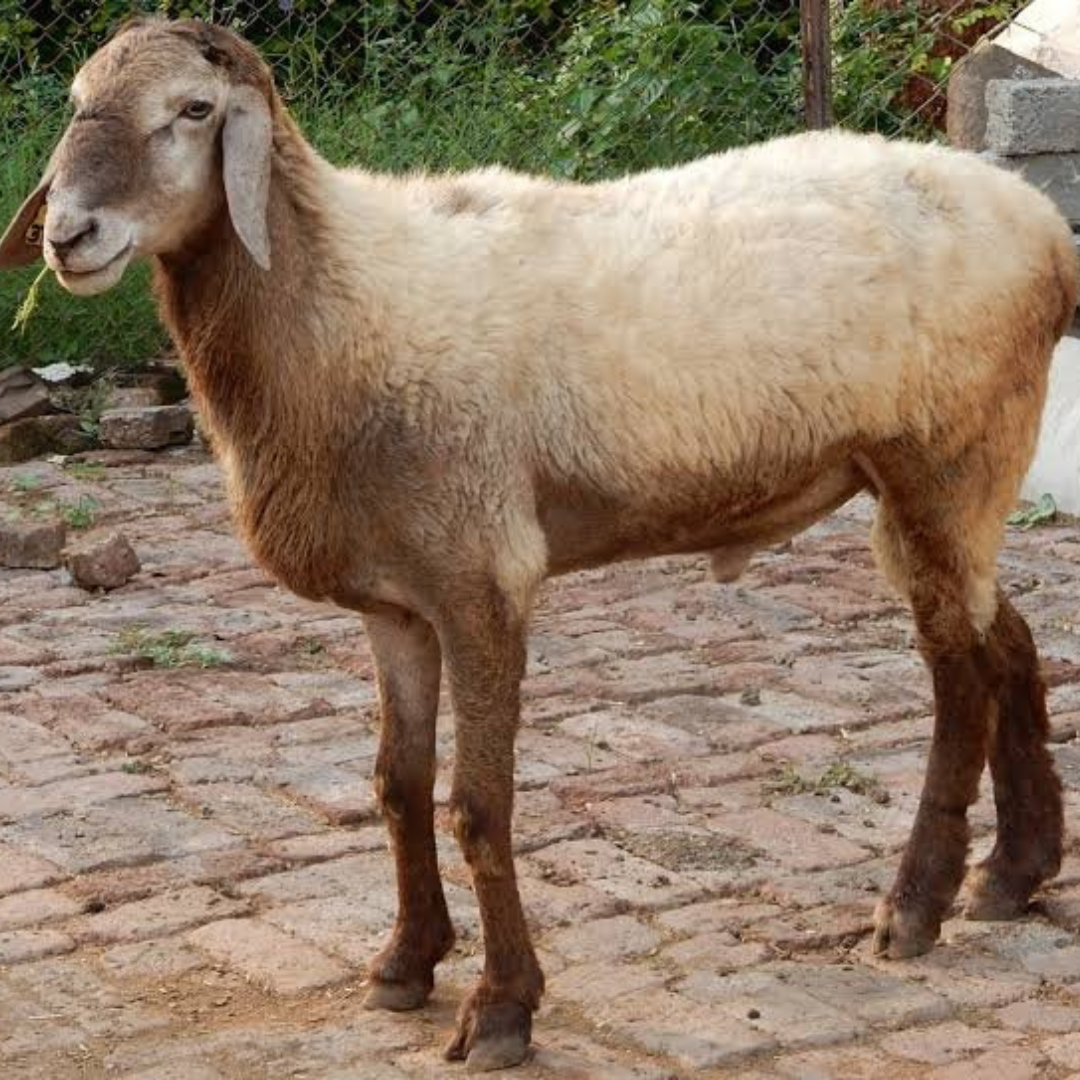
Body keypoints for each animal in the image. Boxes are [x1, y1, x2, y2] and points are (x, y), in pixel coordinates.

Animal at [1, 17, 1075, 1071]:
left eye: (194, 110)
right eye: (77, 101)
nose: (68, 235)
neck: (344, 297)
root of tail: (1041, 223)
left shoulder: (482, 575)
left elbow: (479, 803)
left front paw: (502, 1008)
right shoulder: (397, 600)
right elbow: (397, 786)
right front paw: (405, 963)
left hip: (947, 458)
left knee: (960, 683)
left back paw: (917, 906)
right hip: (947, 486)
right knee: (1010, 642)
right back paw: (1012, 873)